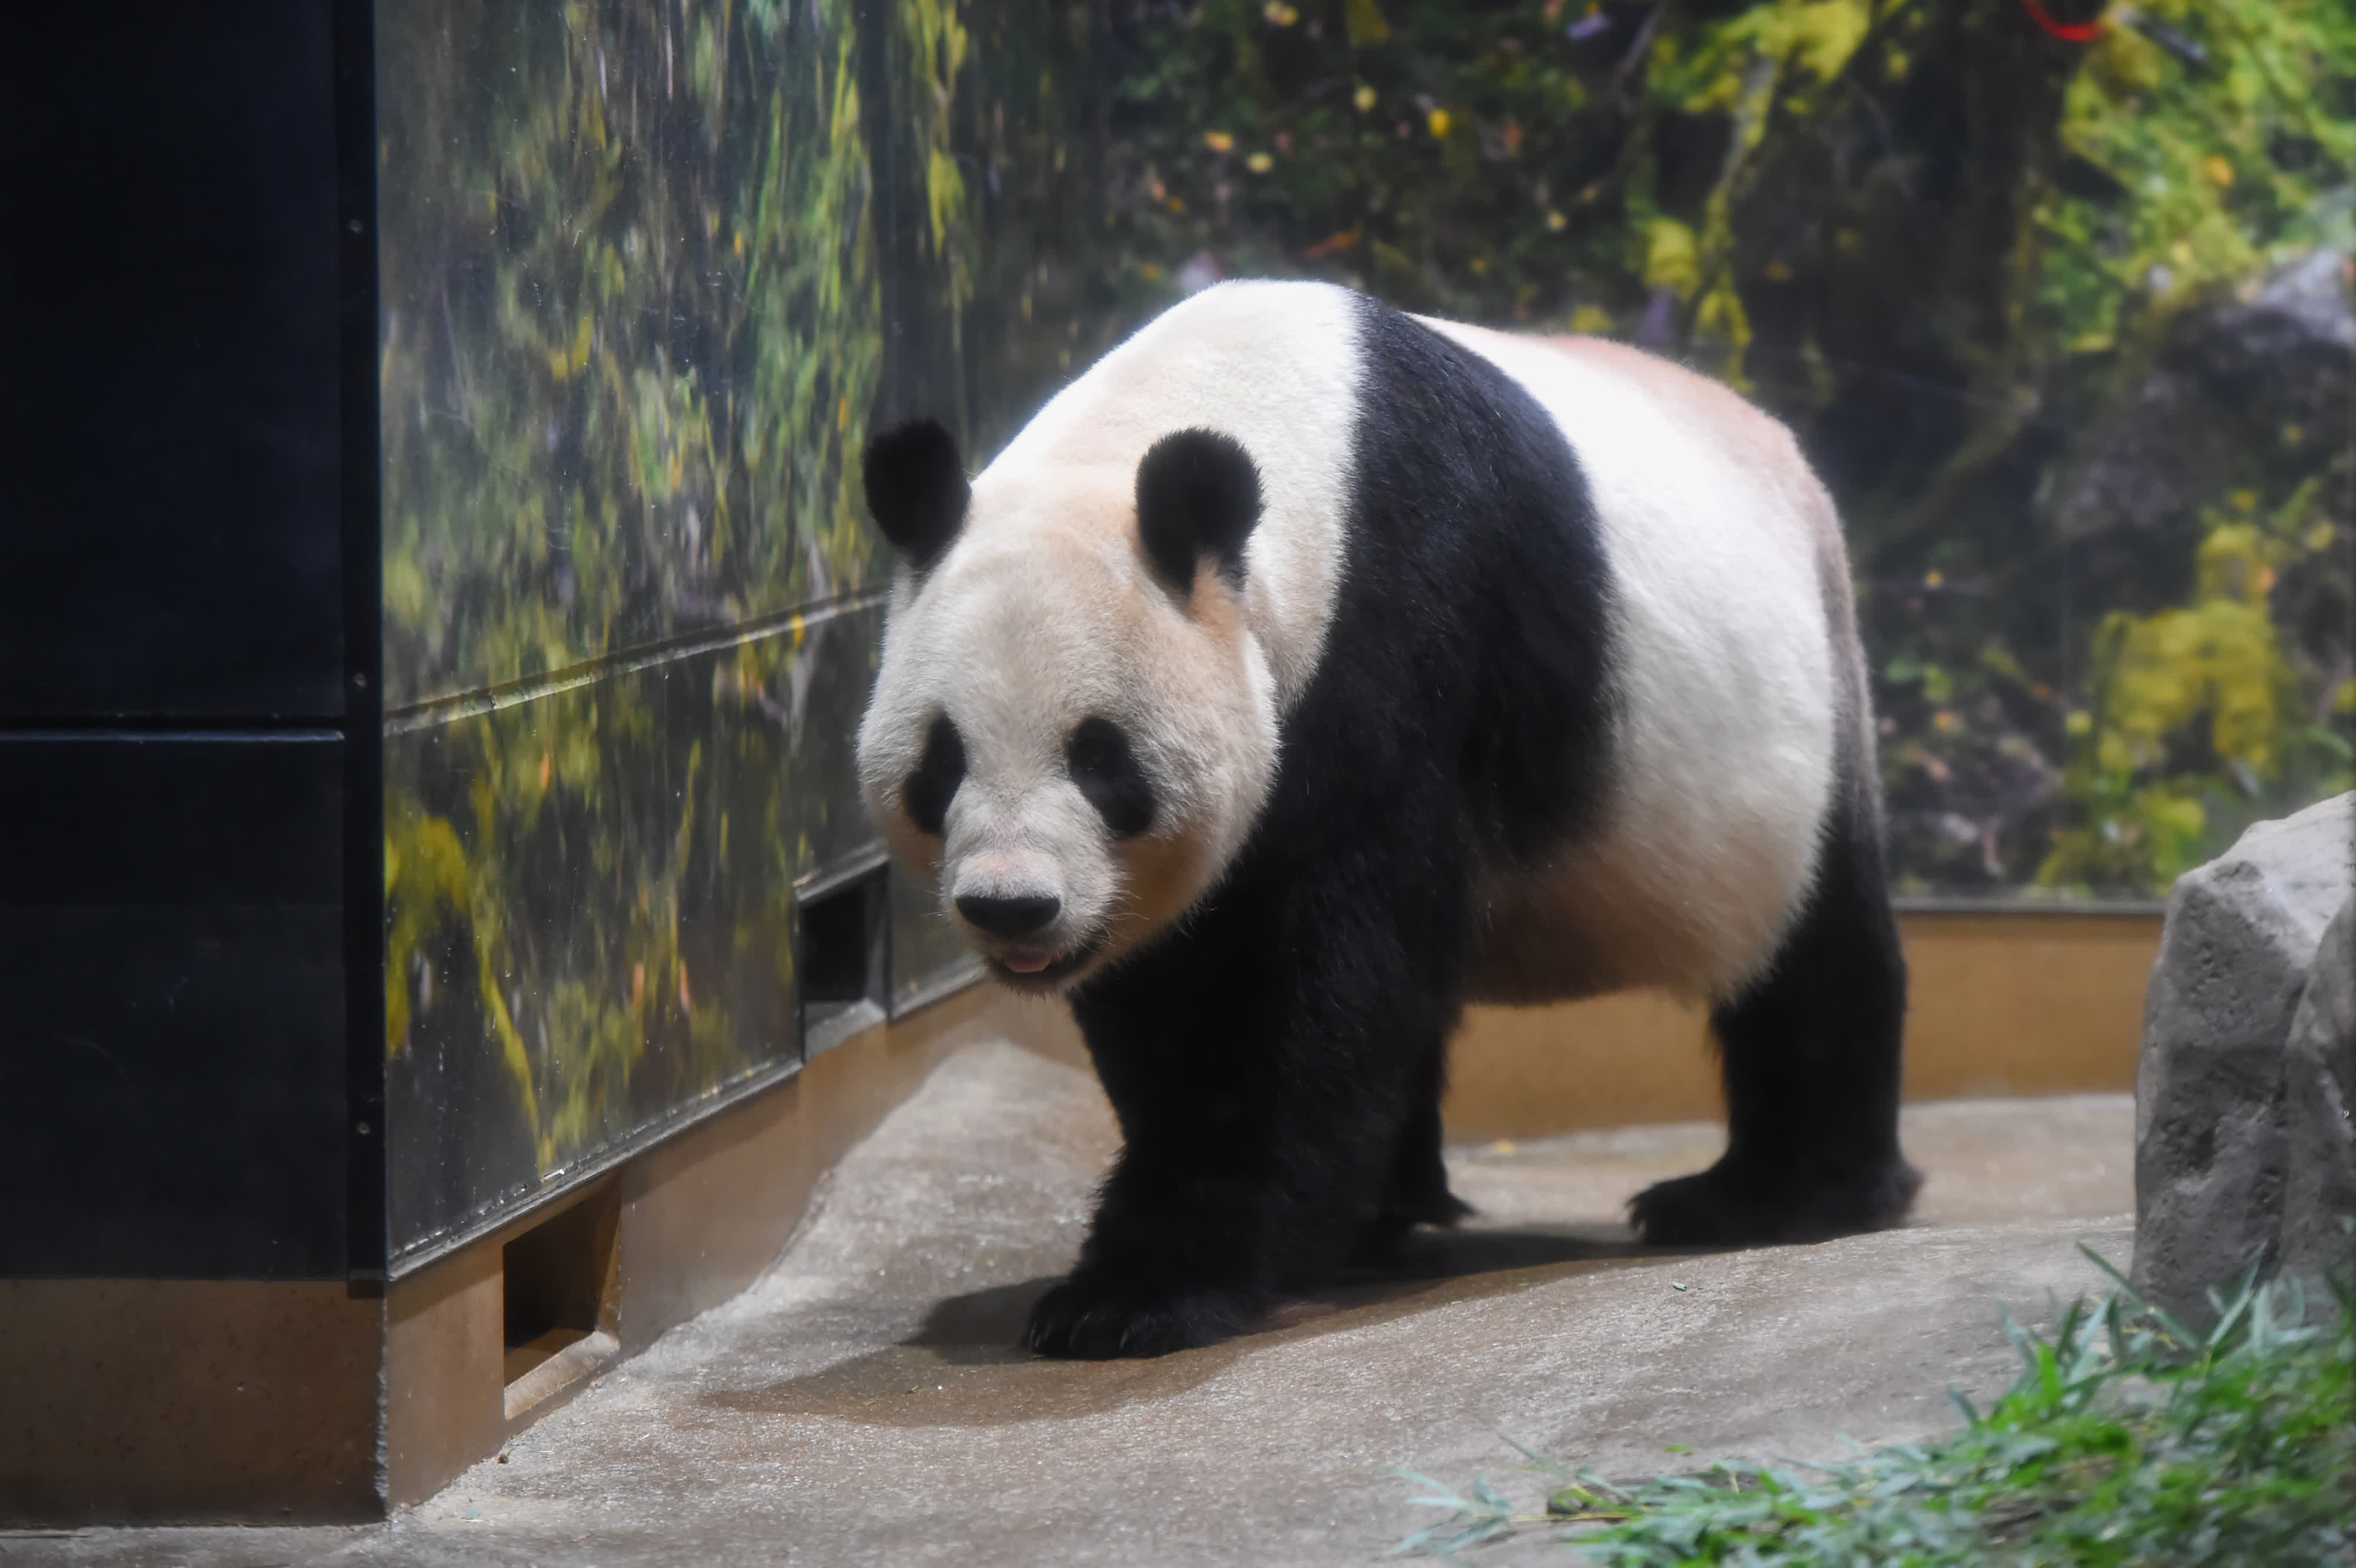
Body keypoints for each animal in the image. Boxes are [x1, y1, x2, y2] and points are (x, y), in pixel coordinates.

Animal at [858, 281, 1922, 1356]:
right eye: (941, 762)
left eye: (1101, 758)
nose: (1011, 906)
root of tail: (1785, 451)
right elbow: (1177, 984)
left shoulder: (1399, 623)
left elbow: (1324, 973)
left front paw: (1135, 1294)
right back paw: (1387, 1213)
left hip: (1786, 737)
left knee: (1815, 955)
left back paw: (1772, 1195)